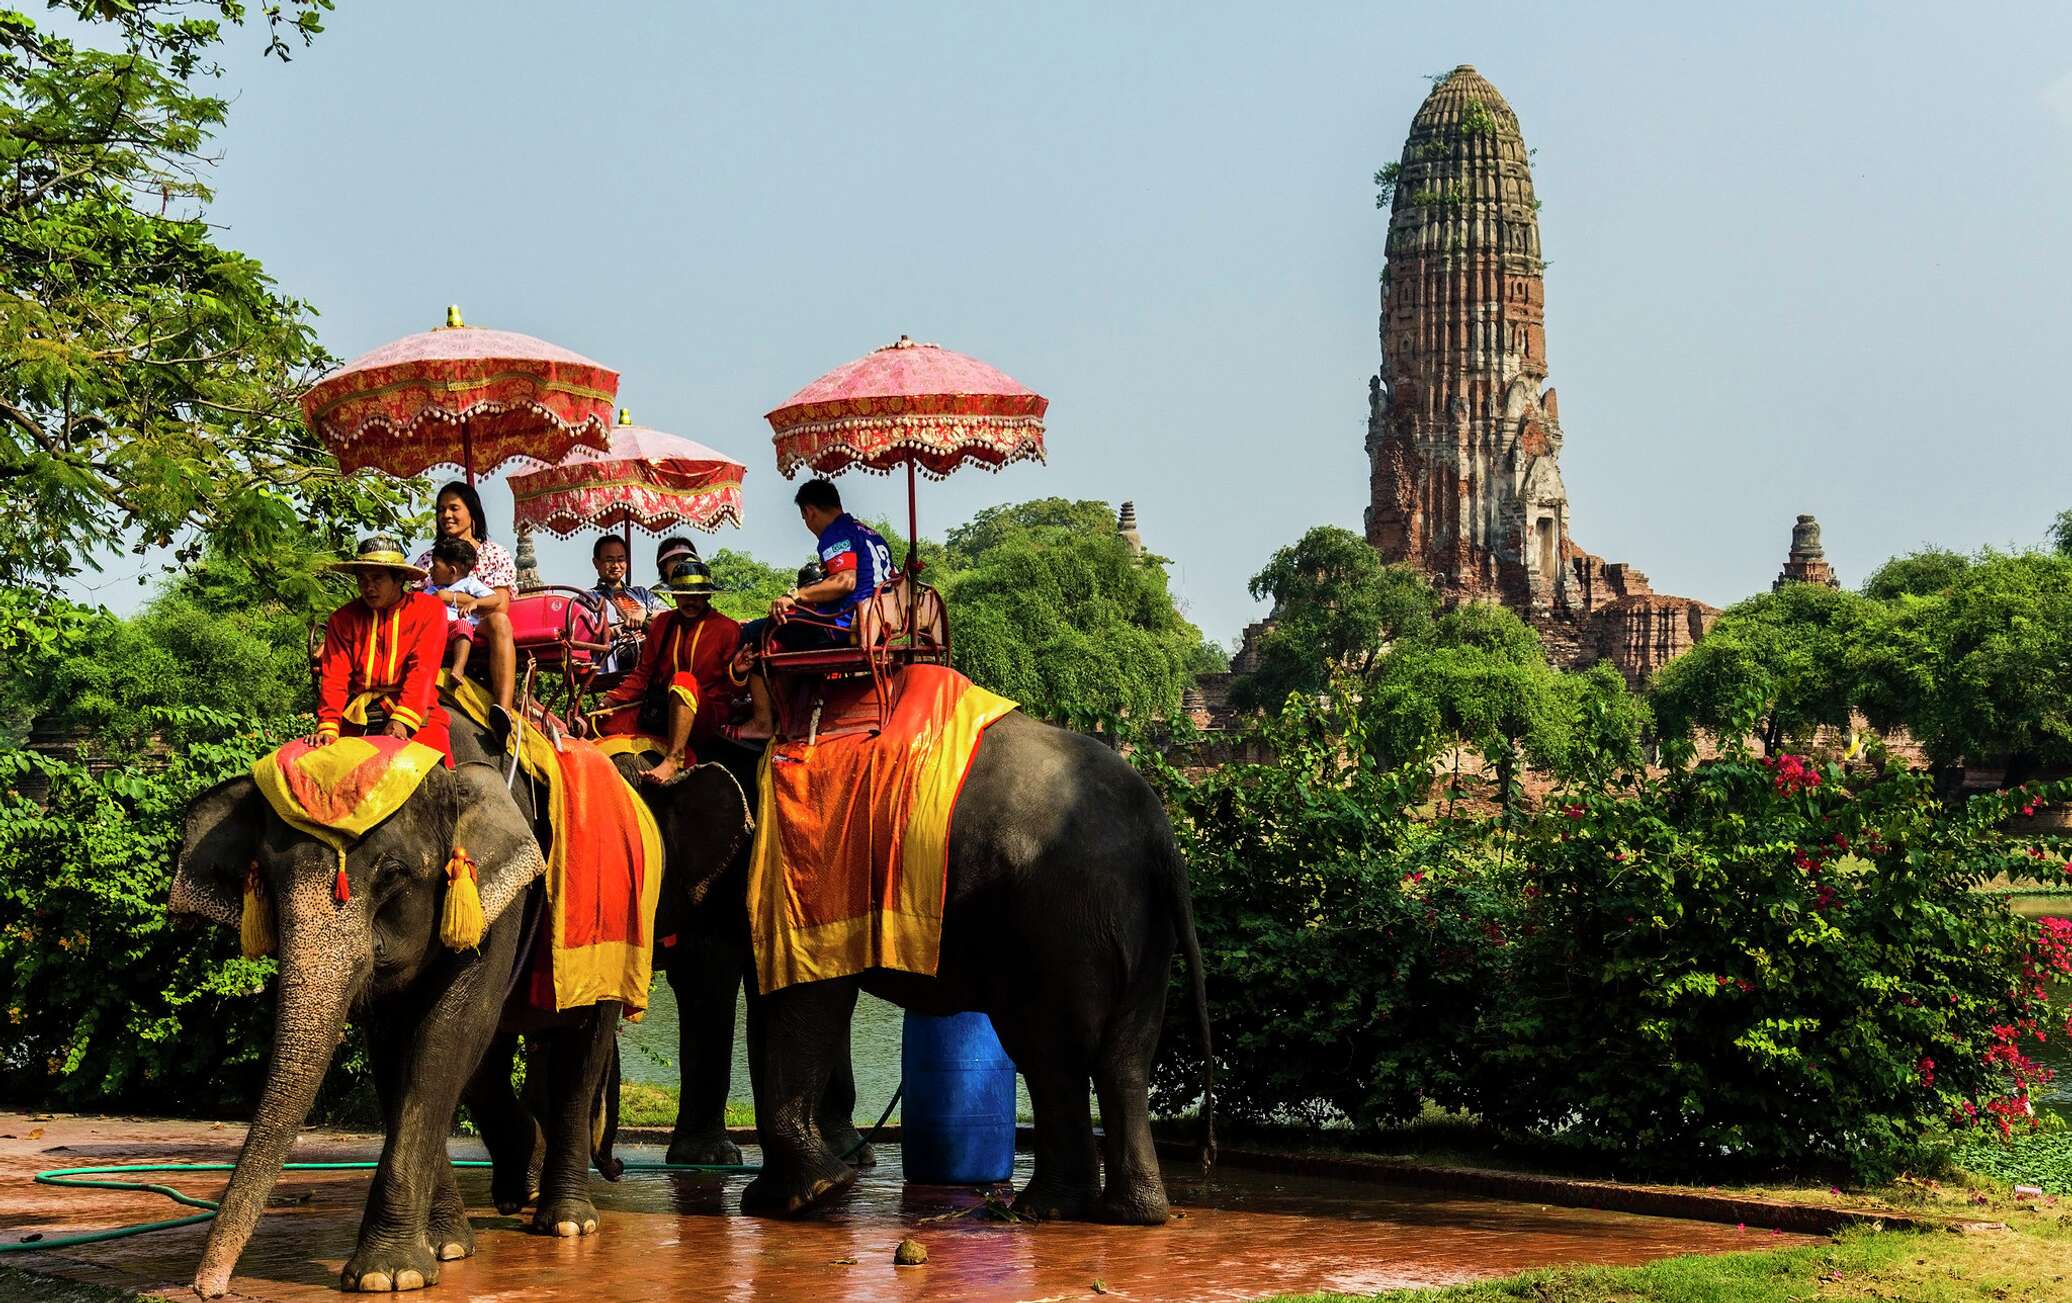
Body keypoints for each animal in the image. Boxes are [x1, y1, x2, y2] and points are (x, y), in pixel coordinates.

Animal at [173, 704, 629, 1292]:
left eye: (392, 874)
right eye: (267, 880)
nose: (208, 1286)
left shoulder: (500, 896)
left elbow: (449, 1031)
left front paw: (388, 1276)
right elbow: (398, 1047)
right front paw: (445, 1247)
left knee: (581, 1049)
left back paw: (567, 1221)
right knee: (492, 1059)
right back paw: (519, 1187)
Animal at [638, 704, 1210, 1226]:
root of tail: (1162, 835)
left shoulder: (798, 869)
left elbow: (797, 995)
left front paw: (794, 1201)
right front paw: (810, 1189)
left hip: (1059, 919)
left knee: (1051, 1052)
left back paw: (1048, 1210)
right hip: (1131, 925)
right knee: (1123, 1057)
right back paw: (1123, 1214)